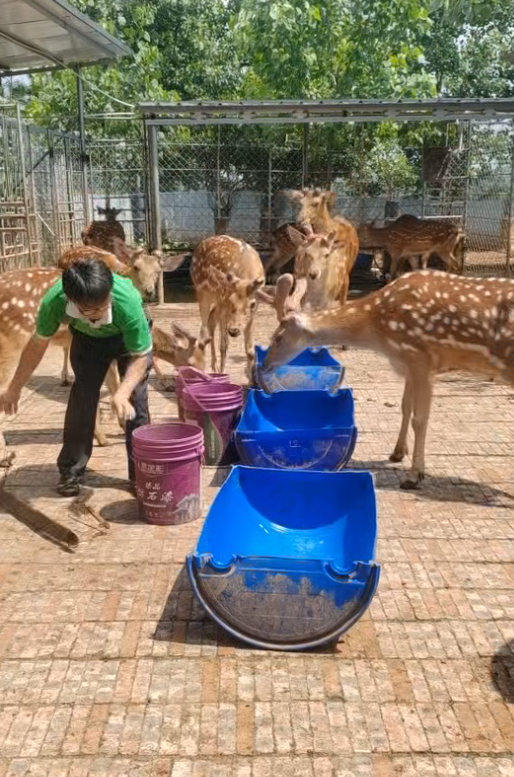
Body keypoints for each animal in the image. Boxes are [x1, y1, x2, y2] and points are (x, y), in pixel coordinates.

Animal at [262, 267, 514, 490]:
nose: (265, 366)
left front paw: (414, 476)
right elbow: (405, 407)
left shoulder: (420, 358)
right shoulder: (407, 364)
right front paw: (397, 453)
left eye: (278, 338)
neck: (377, 330)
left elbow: (420, 419)